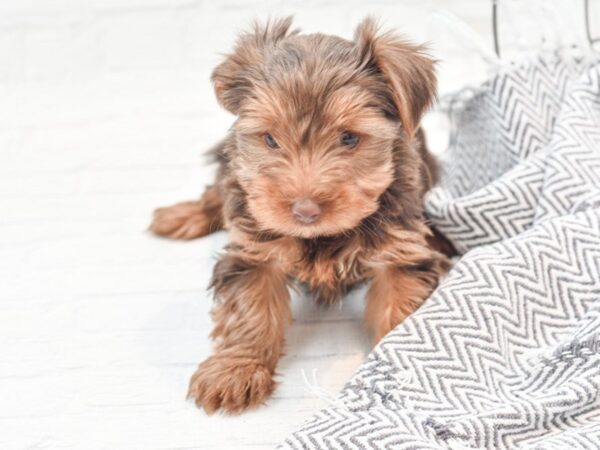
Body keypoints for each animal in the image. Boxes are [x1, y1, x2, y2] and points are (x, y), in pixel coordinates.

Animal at [149, 17, 450, 414]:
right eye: (270, 140)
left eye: (349, 139)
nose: (305, 209)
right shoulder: (254, 249)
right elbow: (249, 307)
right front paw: (236, 369)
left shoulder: (400, 250)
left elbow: (403, 304)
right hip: (234, 173)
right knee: (217, 188)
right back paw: (183, 215)